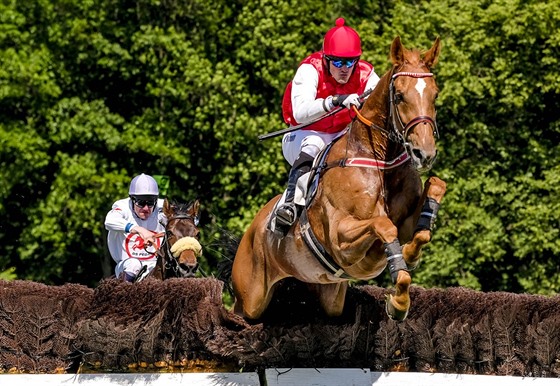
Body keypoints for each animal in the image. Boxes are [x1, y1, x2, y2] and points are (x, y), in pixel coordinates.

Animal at [231, 36, 446, 322]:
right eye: (399, 96)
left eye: (435, 94)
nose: (425, 153)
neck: (379, 161)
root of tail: (252, 229)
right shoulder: (341, 238)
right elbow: (383, 225)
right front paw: (399, 300)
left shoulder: (404, 222)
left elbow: (433, 195)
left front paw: (408, 258)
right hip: (248, 299)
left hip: (328, 295)